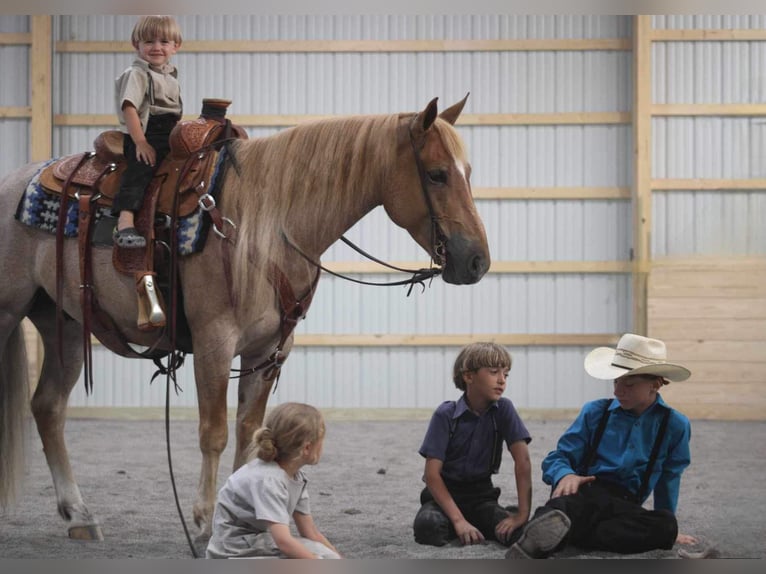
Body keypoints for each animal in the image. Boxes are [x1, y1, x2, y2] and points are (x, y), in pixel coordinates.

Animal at [0, 97, 492, 548]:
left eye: (467, 171)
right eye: (437, 174)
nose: (477, 261)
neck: (267, 225)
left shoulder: (269, 352)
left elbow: (250, 431)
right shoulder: (215, 344)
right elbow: (214, 433)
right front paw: (202, 522)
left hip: (63, 322)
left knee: (48, 407)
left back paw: (79, 514)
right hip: (11, 312)